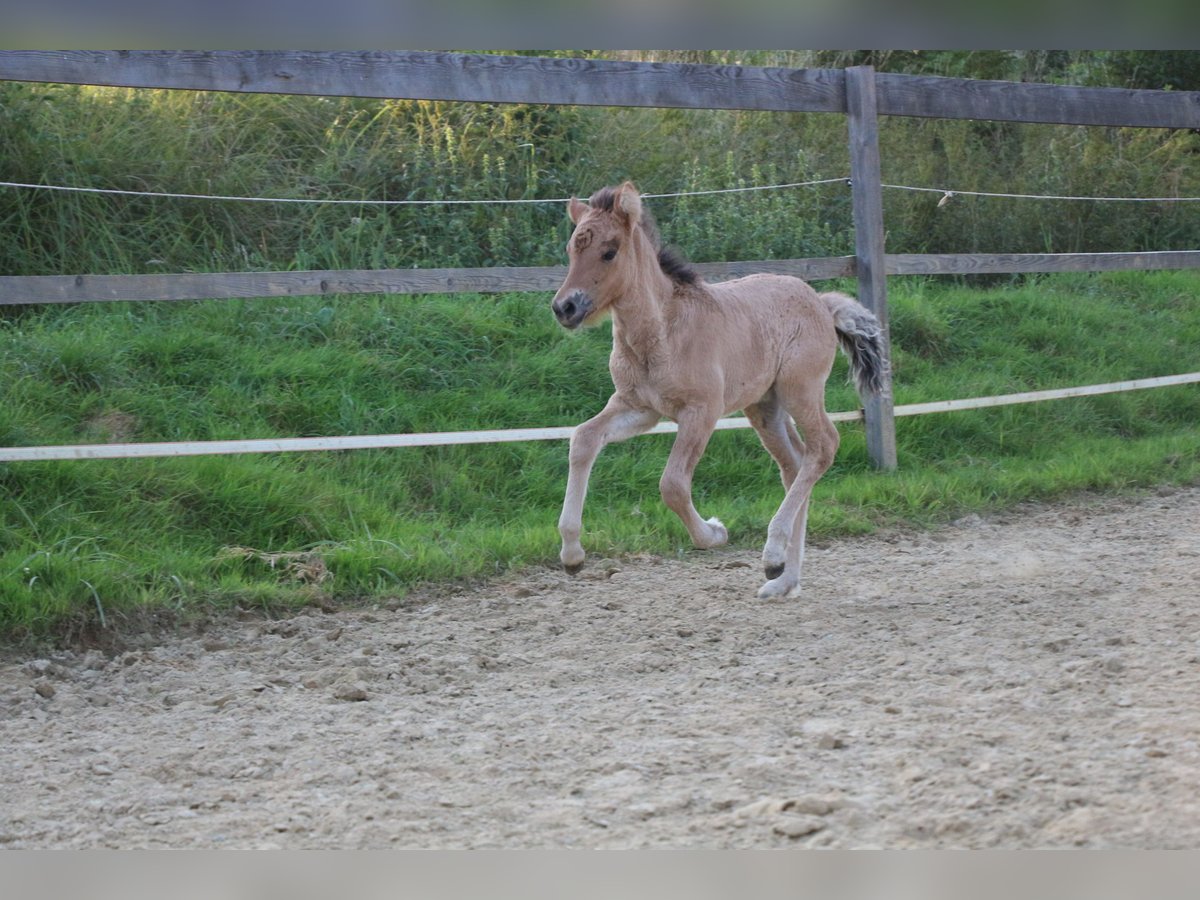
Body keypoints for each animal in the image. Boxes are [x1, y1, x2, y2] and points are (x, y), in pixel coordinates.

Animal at [550, 181, 887, 599]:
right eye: (571, 249)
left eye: (609, 251)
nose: (564, 307)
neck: (663, 330)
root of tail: (823, 304)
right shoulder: (639, 407)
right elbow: (584, 439)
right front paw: (572, 554)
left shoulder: (701, 411)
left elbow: (673, 485)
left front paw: (714, 533)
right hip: (765, 408)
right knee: (795, 464)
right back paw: (783, 579)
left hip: (801, 389)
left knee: (824, 447)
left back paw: (773, 554)